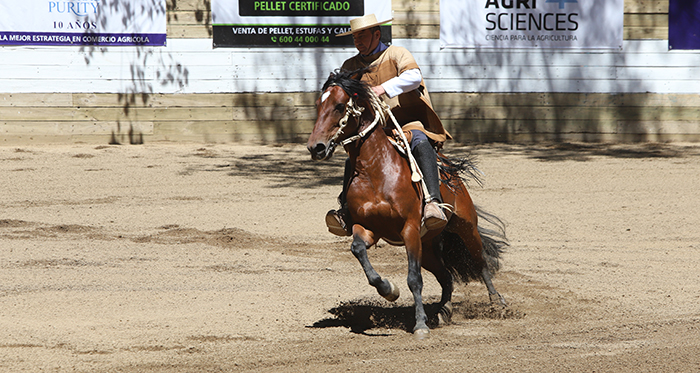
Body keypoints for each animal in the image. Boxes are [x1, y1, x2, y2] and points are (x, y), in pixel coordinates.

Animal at [306, 68, 508, 338]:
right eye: (319, 105)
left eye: (339, 106)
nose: (315, 147)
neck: (376, 171)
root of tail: (450, 173)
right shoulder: (368, 228)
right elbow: (358, 250)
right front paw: (389, 289)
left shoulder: (410, 229)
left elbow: (414, 279)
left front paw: (420, 324)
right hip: (429, 245)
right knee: (446, 276)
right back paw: (444, 311)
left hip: (465, 226)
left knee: (480, 261)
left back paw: (498, 303)